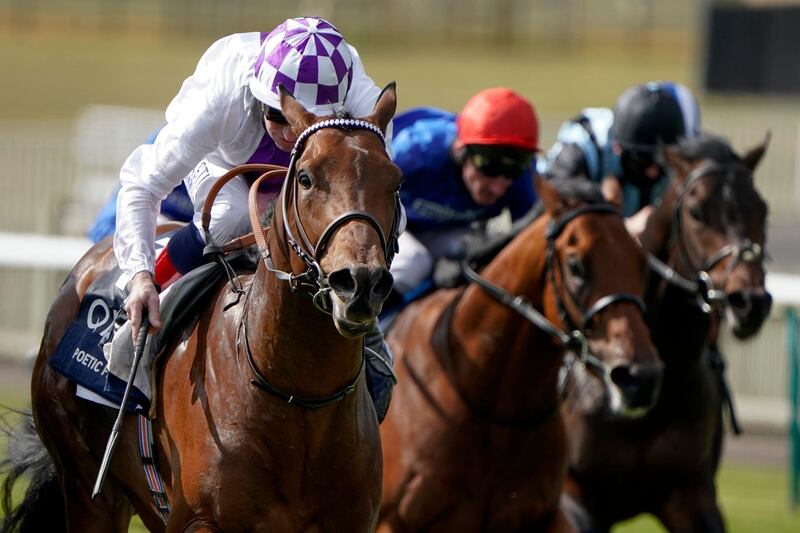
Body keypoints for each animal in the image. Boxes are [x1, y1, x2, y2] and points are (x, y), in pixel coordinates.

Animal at [0, 85, 400, 528]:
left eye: (396, 181)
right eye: (306, 178)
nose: (360, 282)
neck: (298, 400)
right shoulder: (201, 519)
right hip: (89, 491)